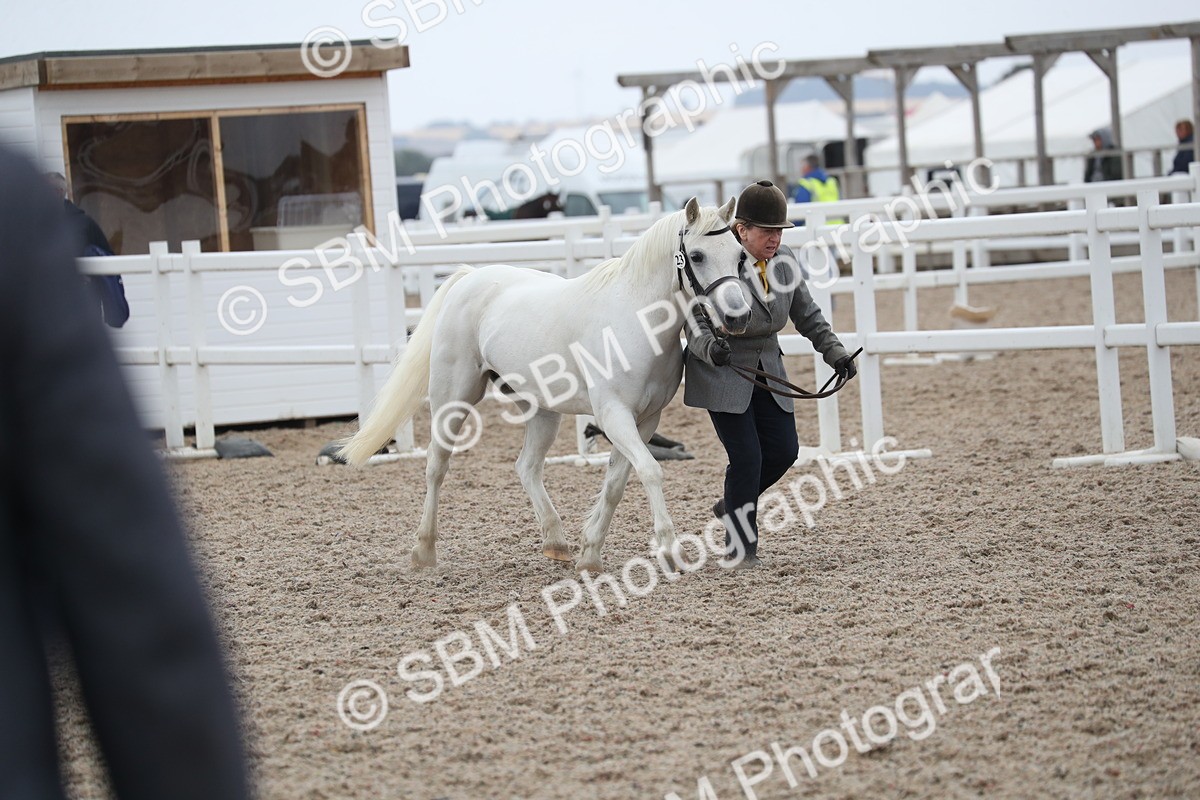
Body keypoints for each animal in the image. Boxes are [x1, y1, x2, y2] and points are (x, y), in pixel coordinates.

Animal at [339, 197, 749, 573]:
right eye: (696, 255)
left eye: (740, 256)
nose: (739, 316)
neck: (634, 320)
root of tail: (468, 278)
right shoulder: (614, 415)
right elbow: (650, 471)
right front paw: (669, 549)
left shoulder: (646, 421)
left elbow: (616, 484)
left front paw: (590, 554)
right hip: (452, 399)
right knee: (436, 465)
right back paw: (424, 550)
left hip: (542, 412)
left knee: (527, 466)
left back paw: (556, 542)